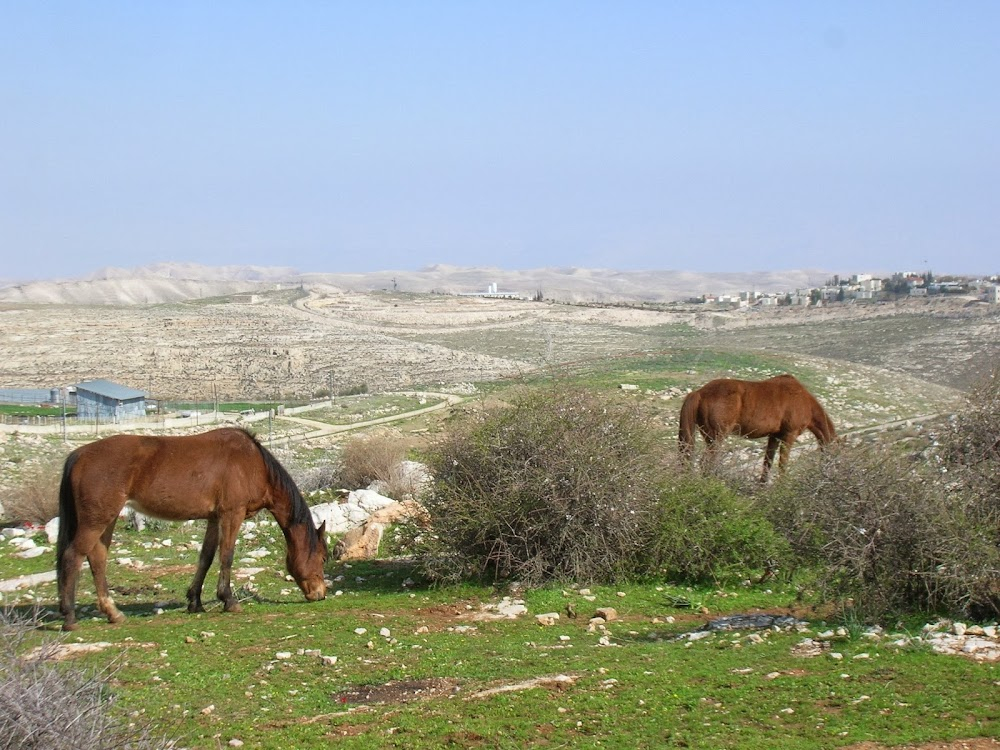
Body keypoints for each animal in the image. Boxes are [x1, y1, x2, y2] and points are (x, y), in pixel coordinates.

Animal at [56, 426, 330, 632]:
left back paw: (113, 612)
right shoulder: (232, 514)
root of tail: (79, 455)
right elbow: (227, 556)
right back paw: (69, 618)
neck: (254, 464)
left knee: (97, 559)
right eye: (322, 557)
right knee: (73, 557)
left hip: (107, 519)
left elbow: (206, 558)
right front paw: (228, 600)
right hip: (96, 520)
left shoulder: (214, 518)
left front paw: (195, 601)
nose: (320, 594)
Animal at [680, 374, 836, 482]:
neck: (804, 401)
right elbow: (783, 464)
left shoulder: (774, 437)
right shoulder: (789, 436)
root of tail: (700, 392)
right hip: (716, 438)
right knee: (706, 463)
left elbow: (767, 463)